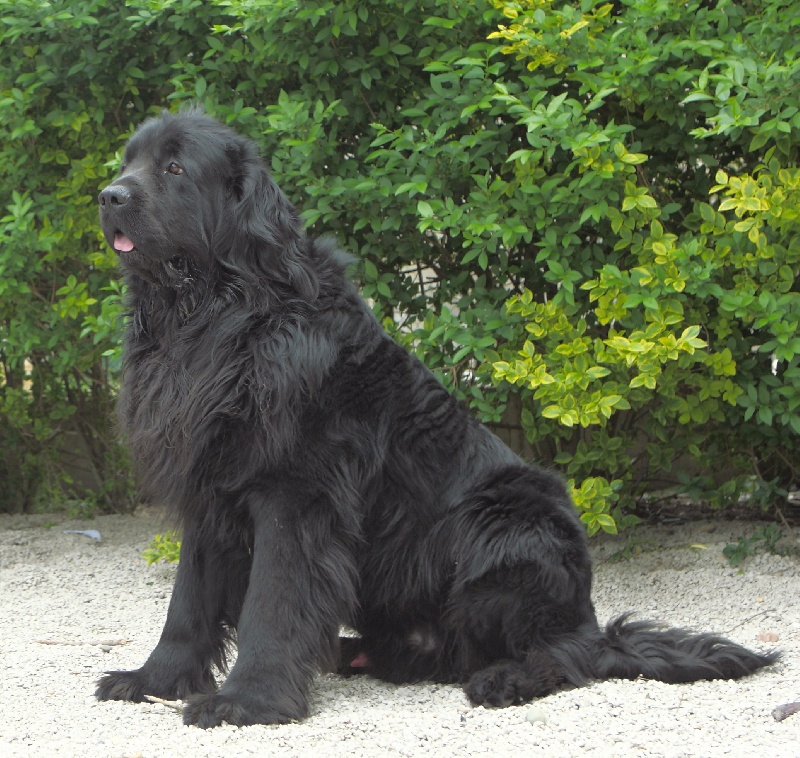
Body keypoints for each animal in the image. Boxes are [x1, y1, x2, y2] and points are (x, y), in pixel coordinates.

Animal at [97, 110, 780, 728]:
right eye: (127, 161)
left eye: (176, 168)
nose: (108, 196)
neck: (217, 319)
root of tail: (586, 613)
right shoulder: (209, 484)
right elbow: (188, 602)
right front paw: (153, 679)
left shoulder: (293, 493)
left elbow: (272, 602)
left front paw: (248, 701)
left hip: (505, 526)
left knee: (573, 654)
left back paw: (505, 679)